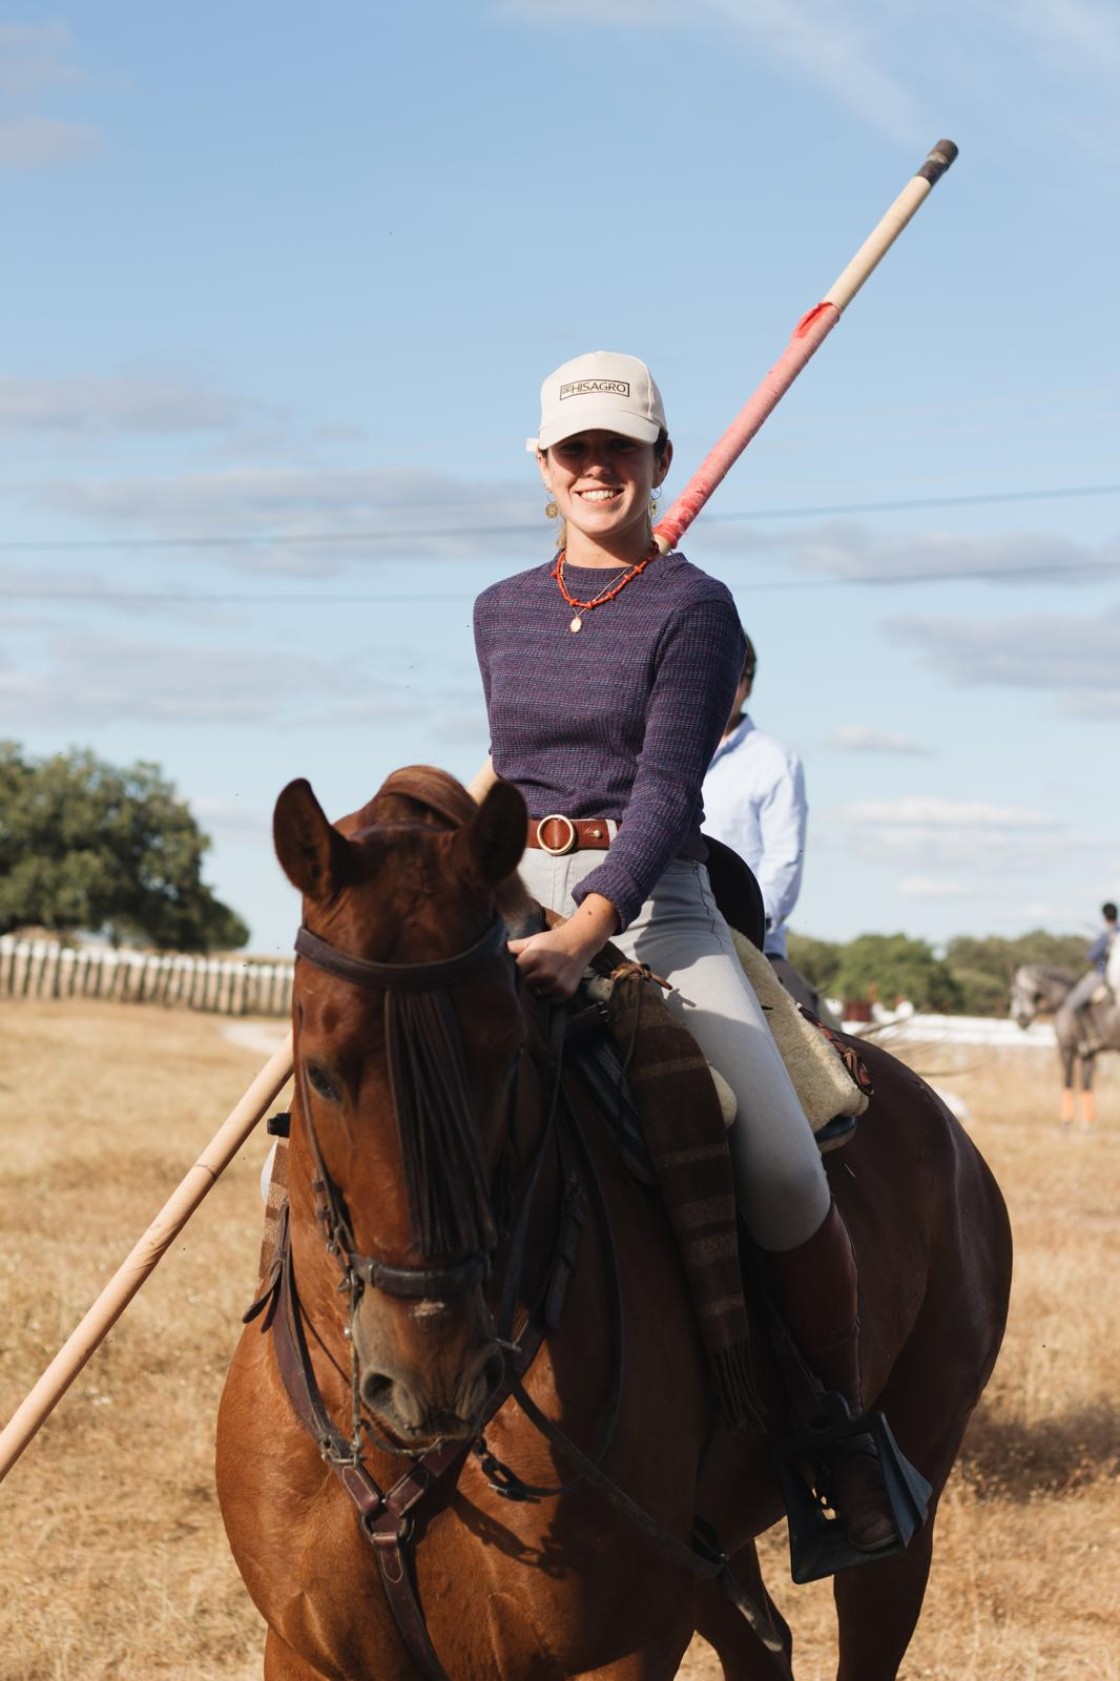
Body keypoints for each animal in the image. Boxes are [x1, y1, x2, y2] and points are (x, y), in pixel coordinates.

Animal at [215, 769, 1009, 1674]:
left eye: (508, 1058)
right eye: (320, 1070)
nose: (433, 1378)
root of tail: (948, 1130)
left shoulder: (622, 1646)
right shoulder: (305, 1648)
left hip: (907, 1500)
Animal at [1002, 968, 1116, 1122]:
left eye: (1013, 992)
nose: (1020, 1020)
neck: (1063, 1000)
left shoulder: (1066, 1050)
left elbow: (1068, 1082)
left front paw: (1066, 1122)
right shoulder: (1088, 1054)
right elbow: (1086, 1085)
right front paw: (1086, 1123)